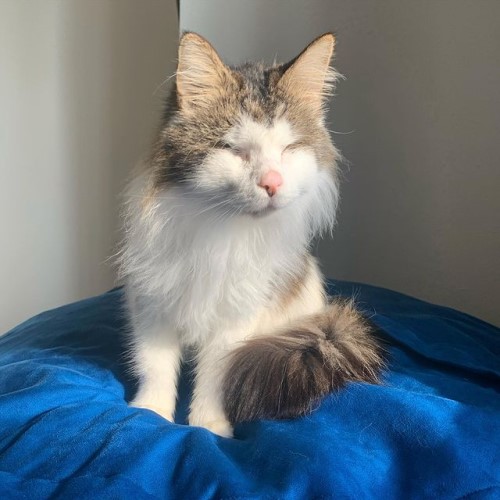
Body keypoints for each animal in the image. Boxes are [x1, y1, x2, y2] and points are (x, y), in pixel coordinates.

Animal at [119, 32, 384, 438]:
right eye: (234, 150)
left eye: (289, 149)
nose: (272, 183)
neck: (218, 232)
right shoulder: (151, 302)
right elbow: (156, 367)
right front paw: (151, 414)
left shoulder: (237, 315)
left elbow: (215, 375)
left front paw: (209, 426)